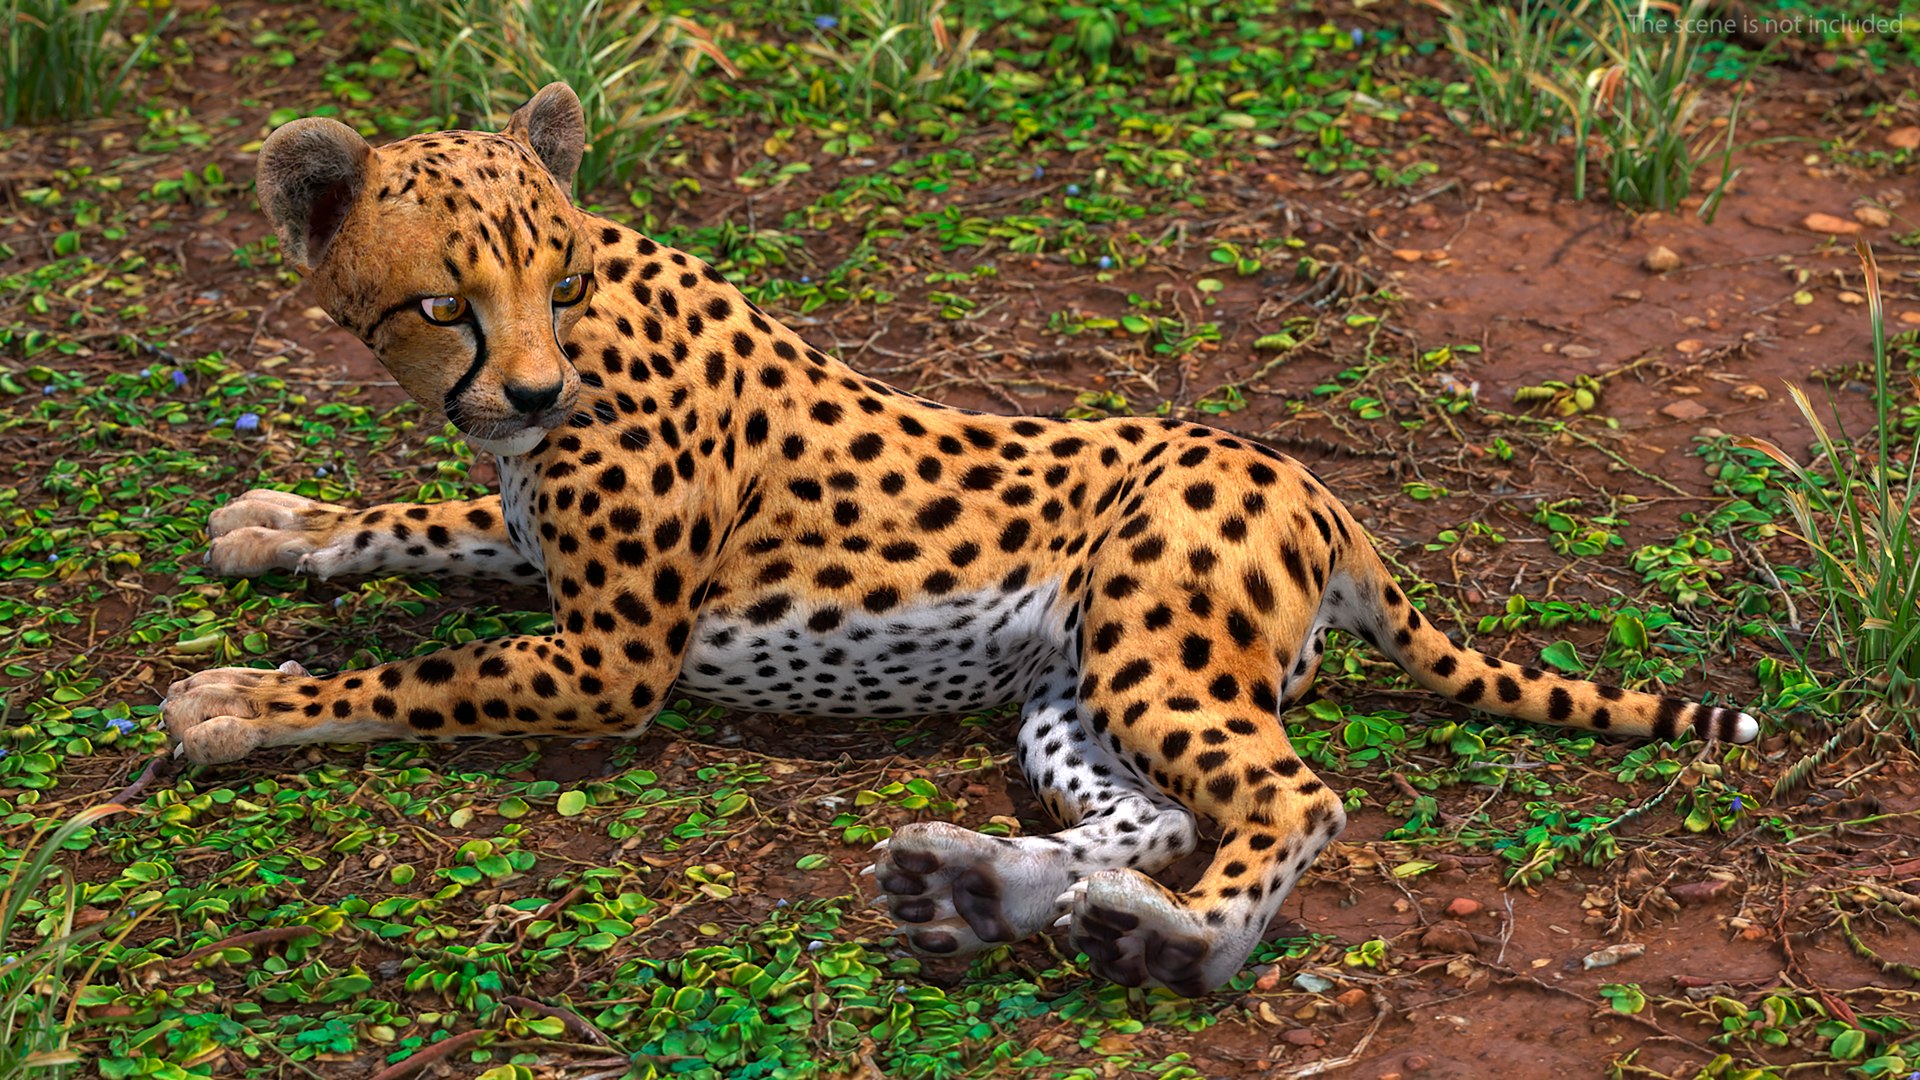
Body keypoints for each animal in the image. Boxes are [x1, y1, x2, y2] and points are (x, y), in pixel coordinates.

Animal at [165, 83, 1759, 996]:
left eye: (551, 283)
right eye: (445, 304)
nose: (539, 391)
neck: (598, 307)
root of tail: (1315, 484)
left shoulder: (612, 656)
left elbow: (420, 679)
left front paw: (243, 700)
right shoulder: (545, 555)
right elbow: (429, 520)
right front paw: (283, 523)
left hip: (1150, 657)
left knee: (1289, 805)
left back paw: (1170, 943)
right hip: (1071, 692)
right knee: (1161, 820)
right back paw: (983, 891)